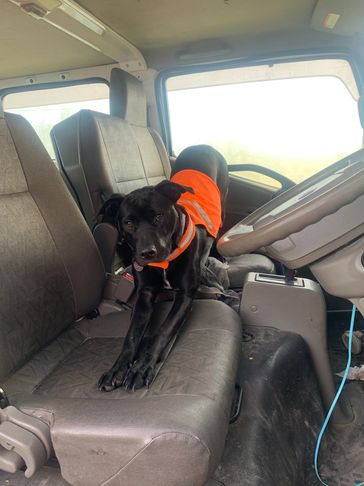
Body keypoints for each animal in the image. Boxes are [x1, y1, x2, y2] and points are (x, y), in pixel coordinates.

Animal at [96, 144, 228, 392]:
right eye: (128, 223)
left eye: (158, 216)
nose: (147, 253)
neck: (165, 262)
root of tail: (202, 146)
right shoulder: (145, 294)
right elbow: (131, 336)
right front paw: (118, 368)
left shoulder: (184, 295)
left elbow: (164, 331)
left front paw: (142, 368)